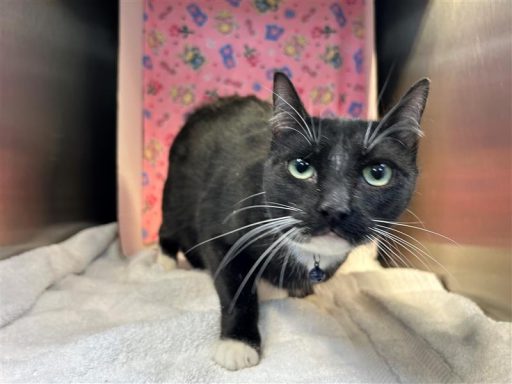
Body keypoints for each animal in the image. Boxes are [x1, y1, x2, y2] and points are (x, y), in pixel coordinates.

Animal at [159, 71, 428, 368]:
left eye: (378, 173)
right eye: (300, 167)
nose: (334, 208)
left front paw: (300, 291)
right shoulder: (220, 225)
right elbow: (235, 288)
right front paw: (237, 344)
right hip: (175, 193)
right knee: (169, 228)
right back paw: (165, 262)